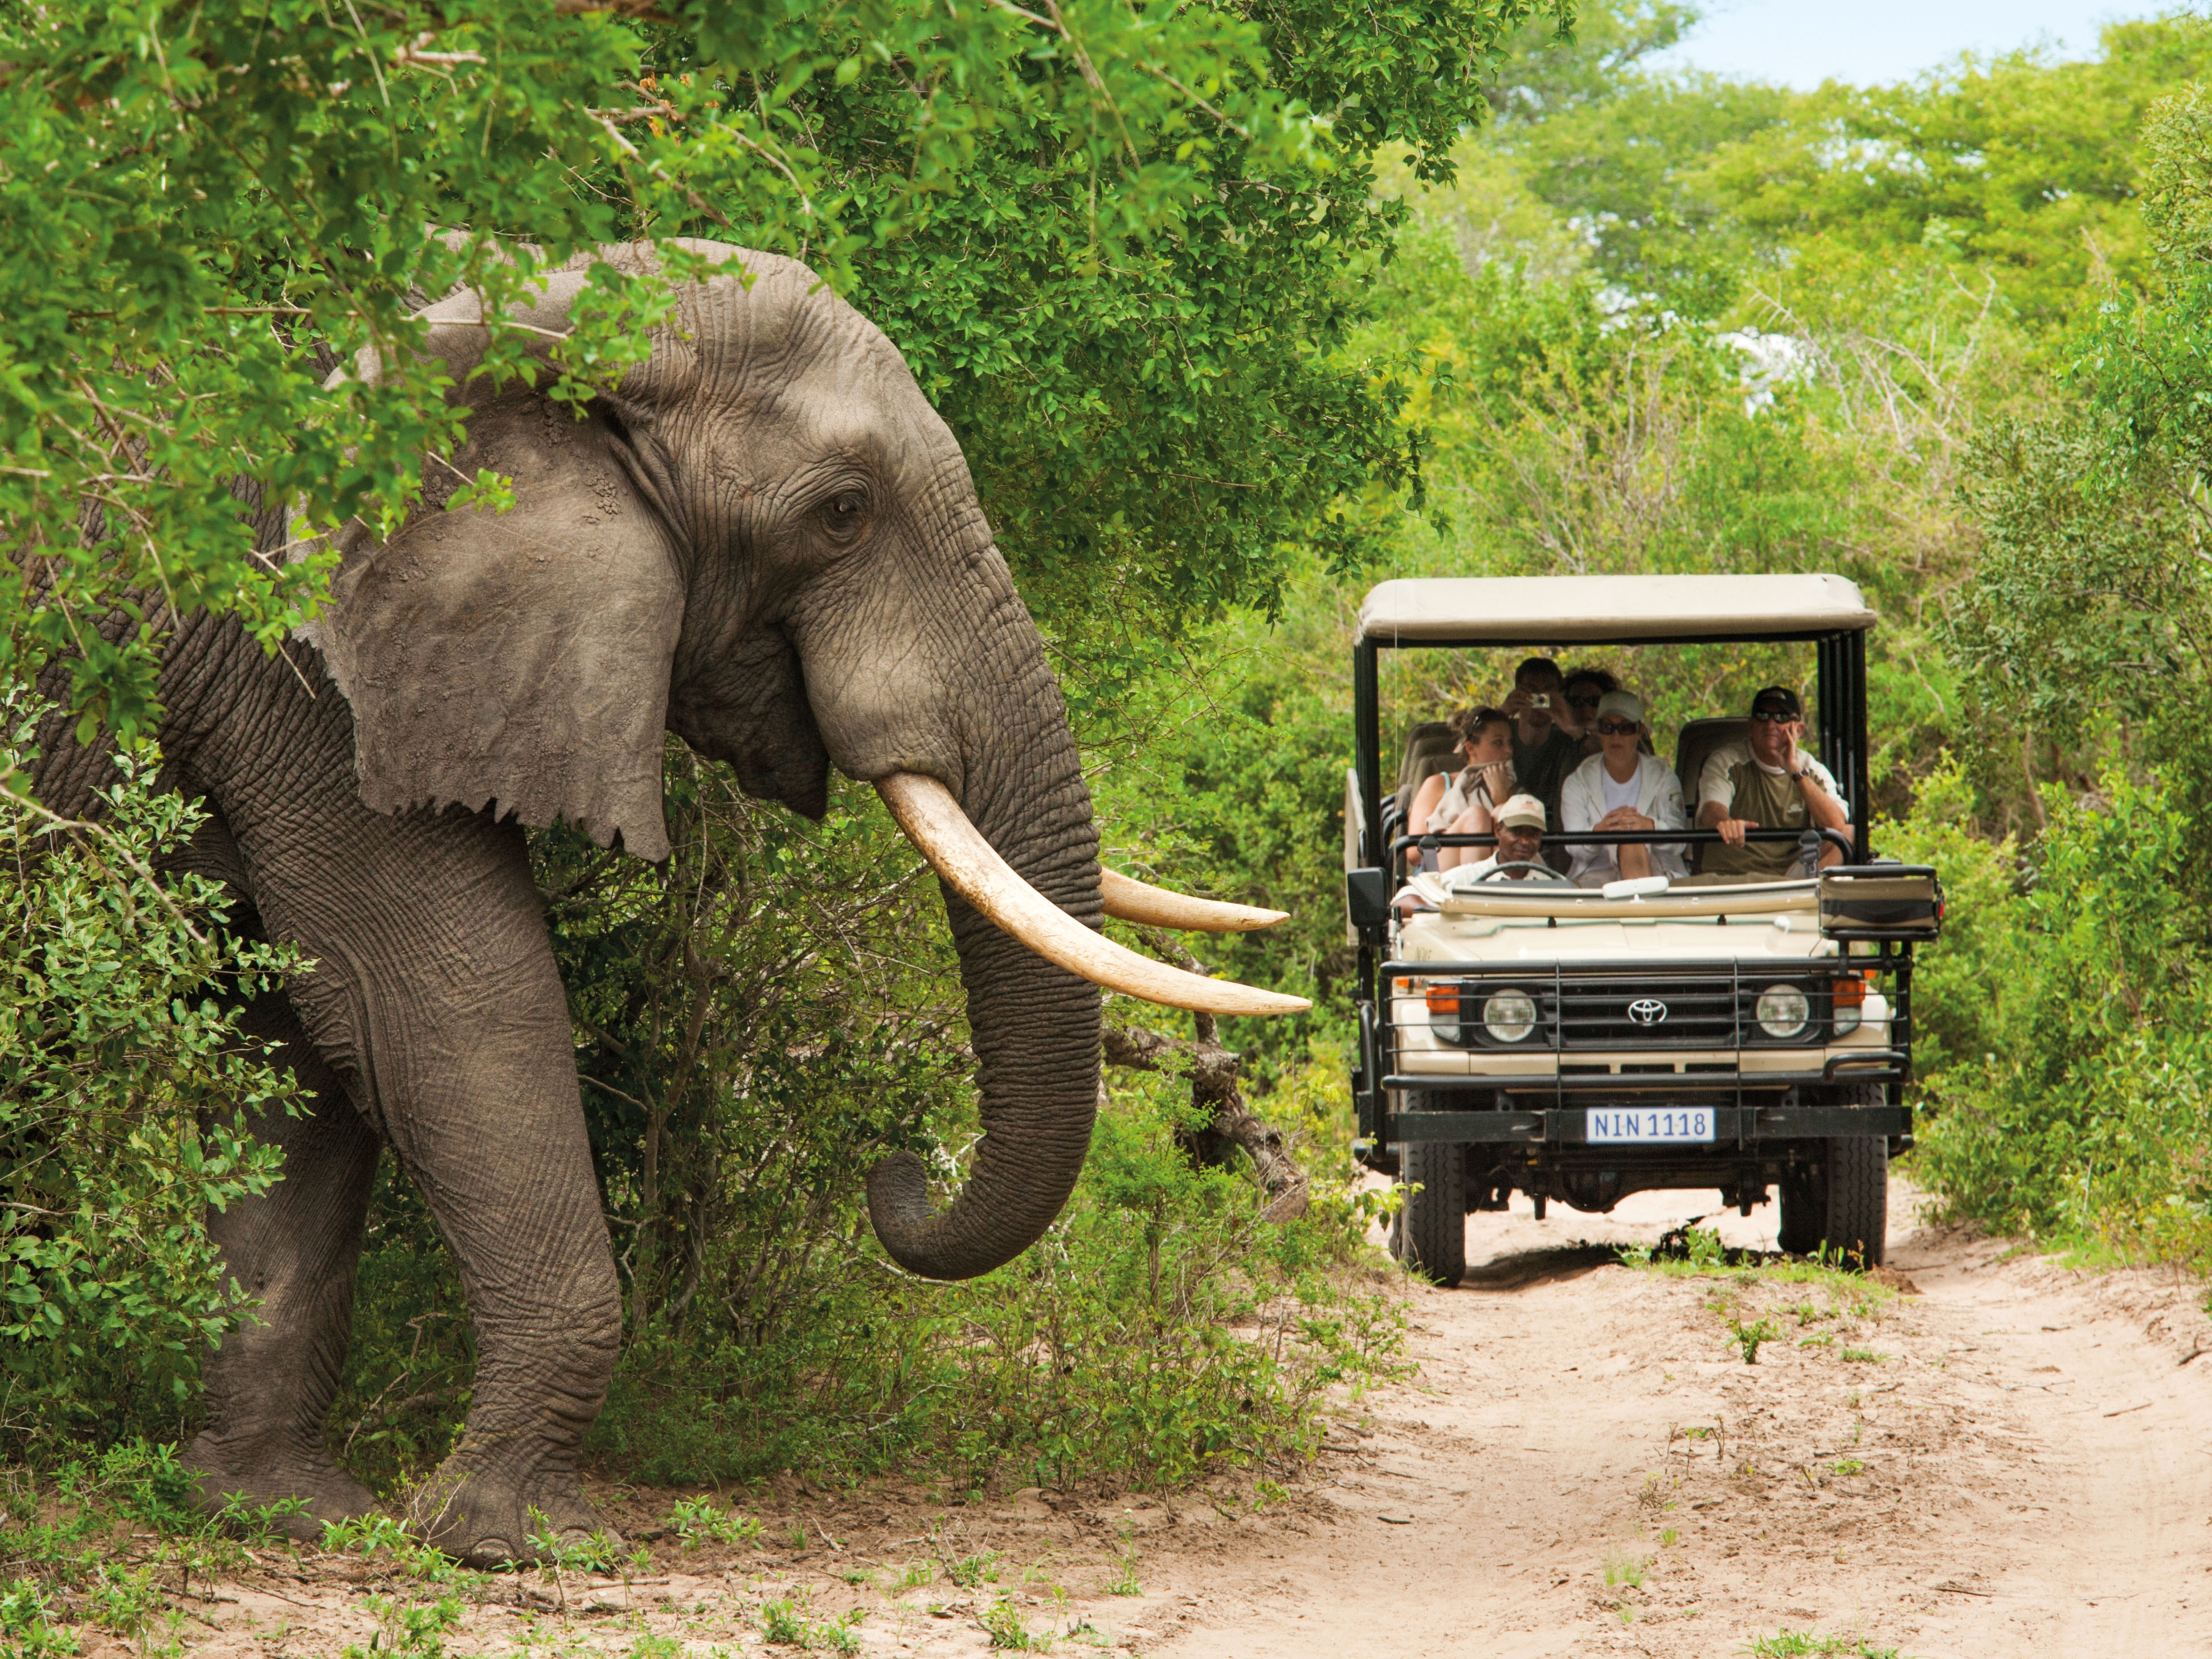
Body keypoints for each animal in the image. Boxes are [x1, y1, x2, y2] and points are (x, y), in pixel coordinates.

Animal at [29, 239, 1303, 1565]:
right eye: (840, 515)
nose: (897, 1172)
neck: (531, 304)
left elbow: (314, 1036)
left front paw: (280, 1511)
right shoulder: (296, 659)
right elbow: (439, 996)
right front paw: (504, 1539)